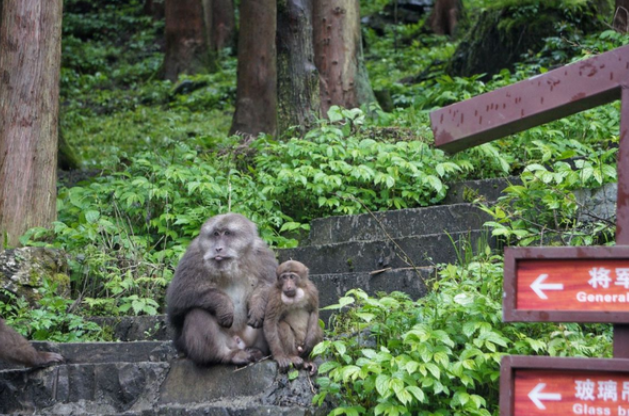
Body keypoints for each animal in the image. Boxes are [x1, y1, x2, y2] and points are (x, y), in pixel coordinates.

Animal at [166, 213, 276, 366]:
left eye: (227, 233)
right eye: (215, 234)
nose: (218, 248)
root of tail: (239, 342)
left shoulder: (262, 253)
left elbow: (270, 285)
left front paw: (257, 308)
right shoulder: (193, 256)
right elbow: (179, 295)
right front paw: (224, 305)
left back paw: (257, 351)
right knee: (197, 311)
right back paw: (226, 356)